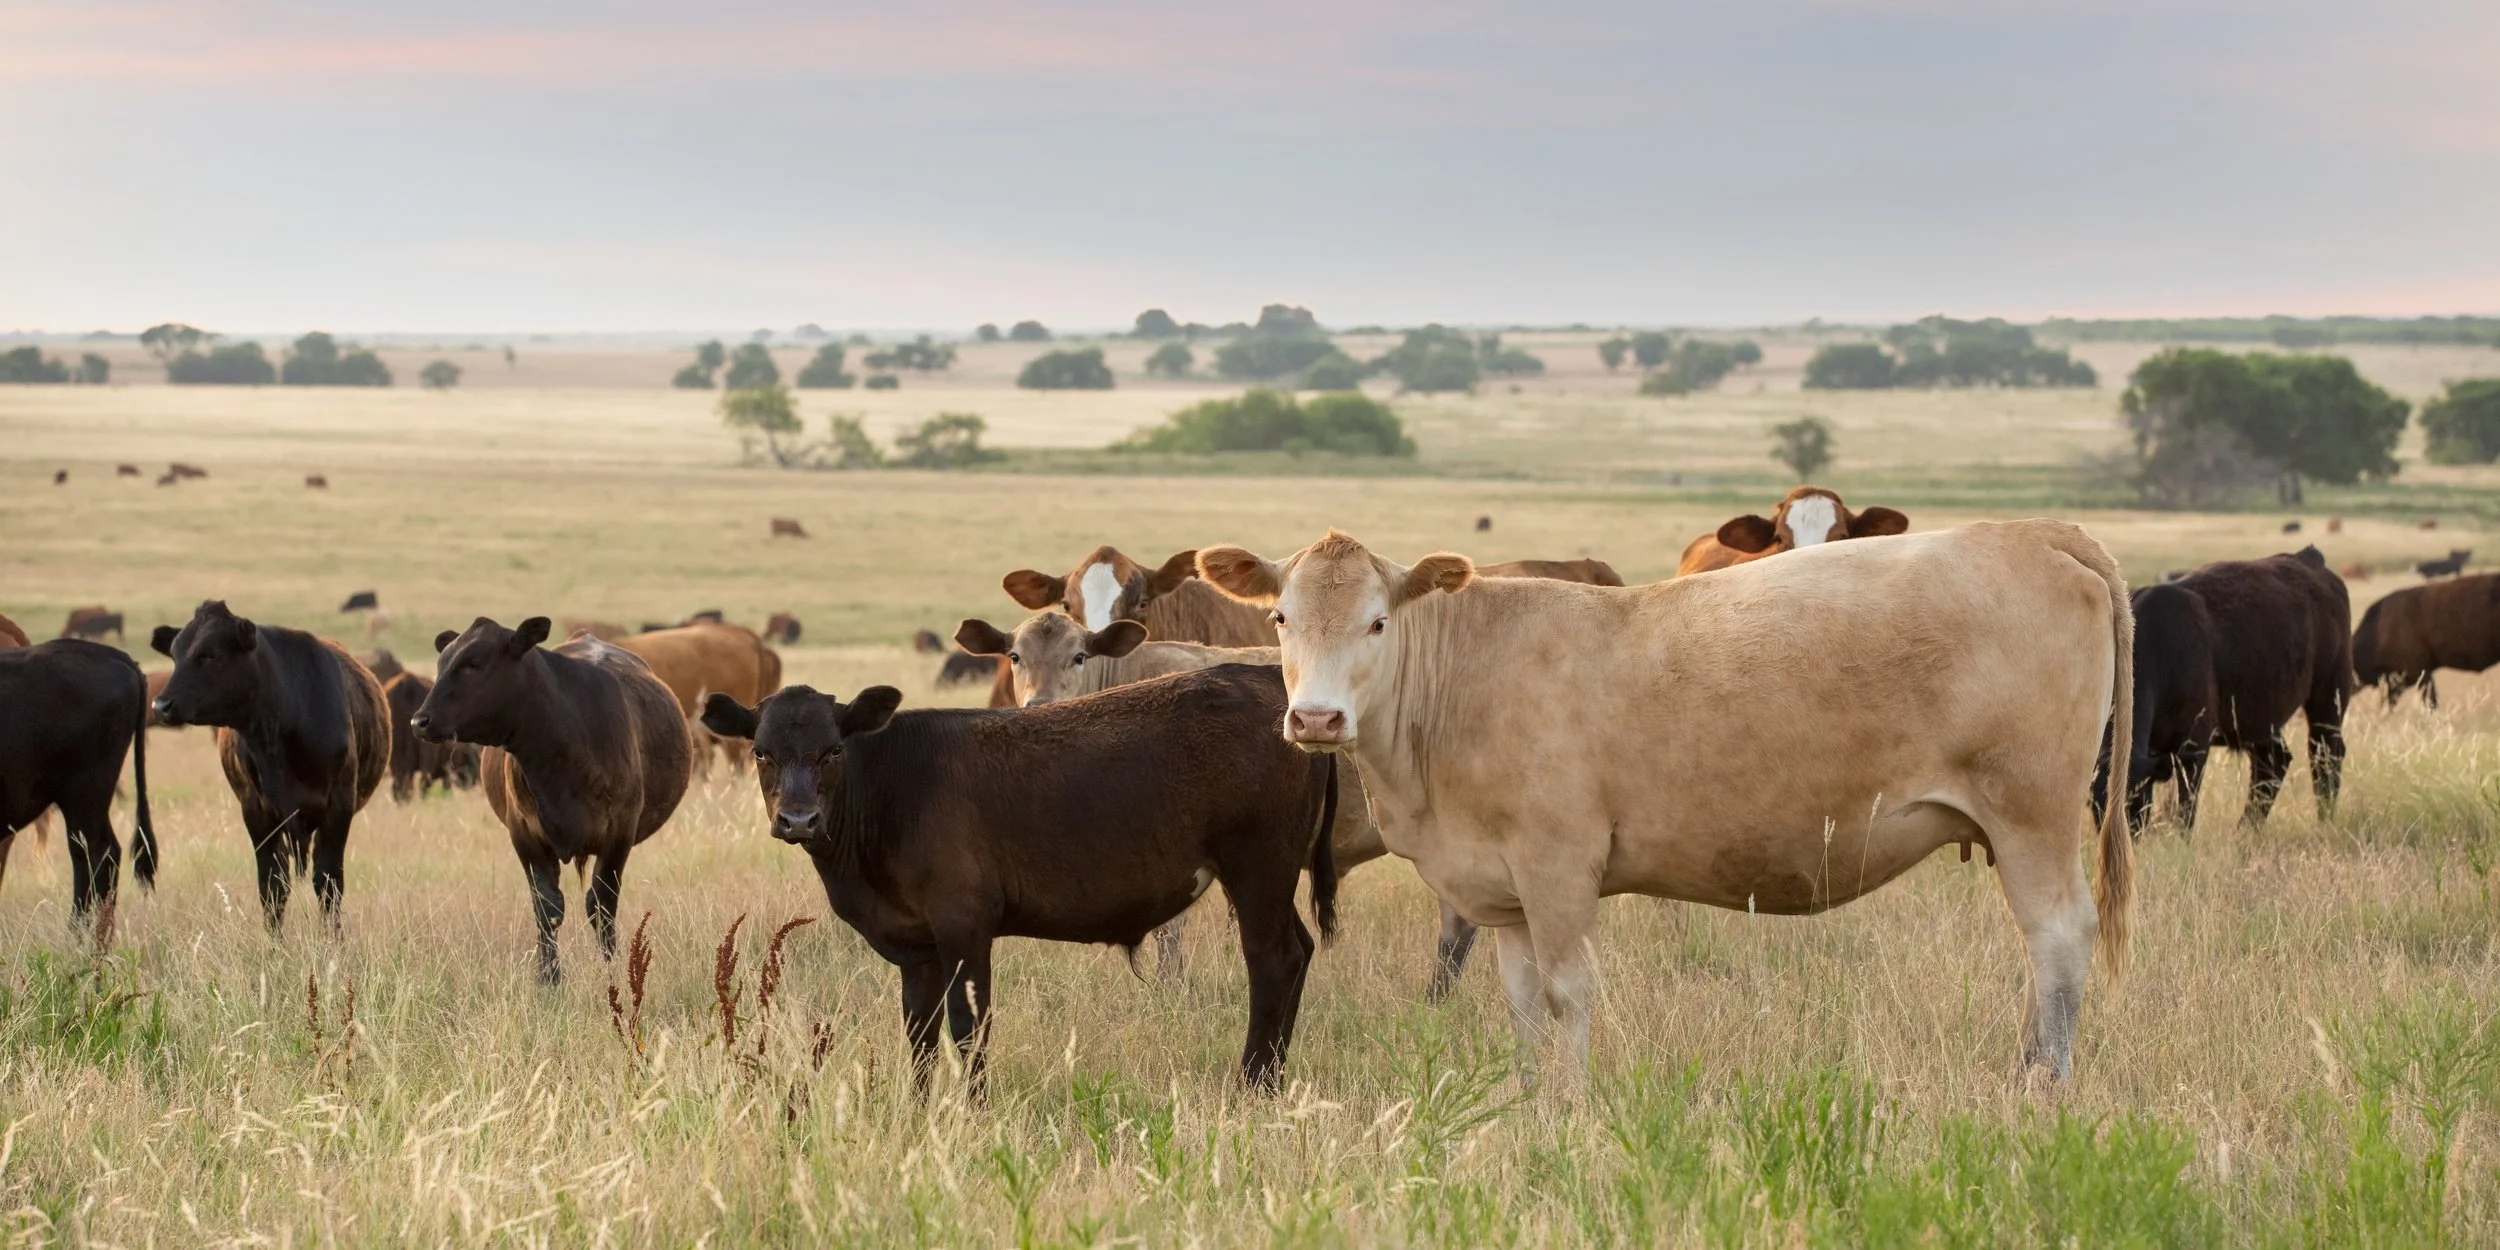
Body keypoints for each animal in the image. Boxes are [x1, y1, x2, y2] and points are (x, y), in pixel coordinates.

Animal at [151, 602, 390, 933]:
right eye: (174, 655)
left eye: (209, 654)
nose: (161, 705)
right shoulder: (258, 813)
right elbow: (273, 887)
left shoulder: (338, 809)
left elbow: (329, 884)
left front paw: (333, 940)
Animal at [417, 619, 689, 982]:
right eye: (441, 663)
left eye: (474, 663)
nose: (420, 720)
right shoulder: (524, 834)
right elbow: (547, 907)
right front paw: (548, 977)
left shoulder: (620, 833)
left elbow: (601, 904)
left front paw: (610, 968)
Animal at [698, 666, 1338, 1094]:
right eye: (761, 752)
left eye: (833, 750)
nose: (797, 819)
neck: (894, 786)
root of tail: (1263, 678)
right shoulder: (917, 948)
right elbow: (920, 1034)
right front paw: (919, 1111)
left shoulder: (964, 927)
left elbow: (968, 1028)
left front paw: (973, 1111)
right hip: (1271, 876)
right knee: (1299, 951)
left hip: (1258, 867)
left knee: (1273, 961)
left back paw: (1253, 1086)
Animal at [955, 612, 1483, 998]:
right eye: (1015, 656)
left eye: (1079, 655)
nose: (1038, 703)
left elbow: (1170, 929)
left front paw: (1169, 990)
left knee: (1459, 923)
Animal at [1198, 524, 2133, 1089]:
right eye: (1279, 618)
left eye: (1379, 623)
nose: (1316, 719)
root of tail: (2033, 531)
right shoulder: (1503, 890)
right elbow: (1522, 1001)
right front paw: (1527, 1097)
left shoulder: (1559, 865)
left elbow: (1569, 993)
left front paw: (1570, 1109)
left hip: (2031, 814)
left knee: (2058, 938)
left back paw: (2044, 1083)